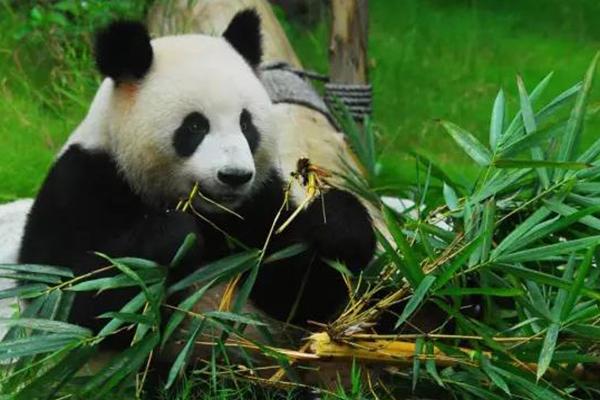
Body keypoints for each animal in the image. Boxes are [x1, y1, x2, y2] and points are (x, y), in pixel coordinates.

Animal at [18, 8, 376, 362]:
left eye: (246, 124)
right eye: (194, 126)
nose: (234, 176)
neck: (209, 213)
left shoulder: (259, 202)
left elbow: (296, 296)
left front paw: (337, 221)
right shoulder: (82, 184)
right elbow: (67, 300)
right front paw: (176, 236)